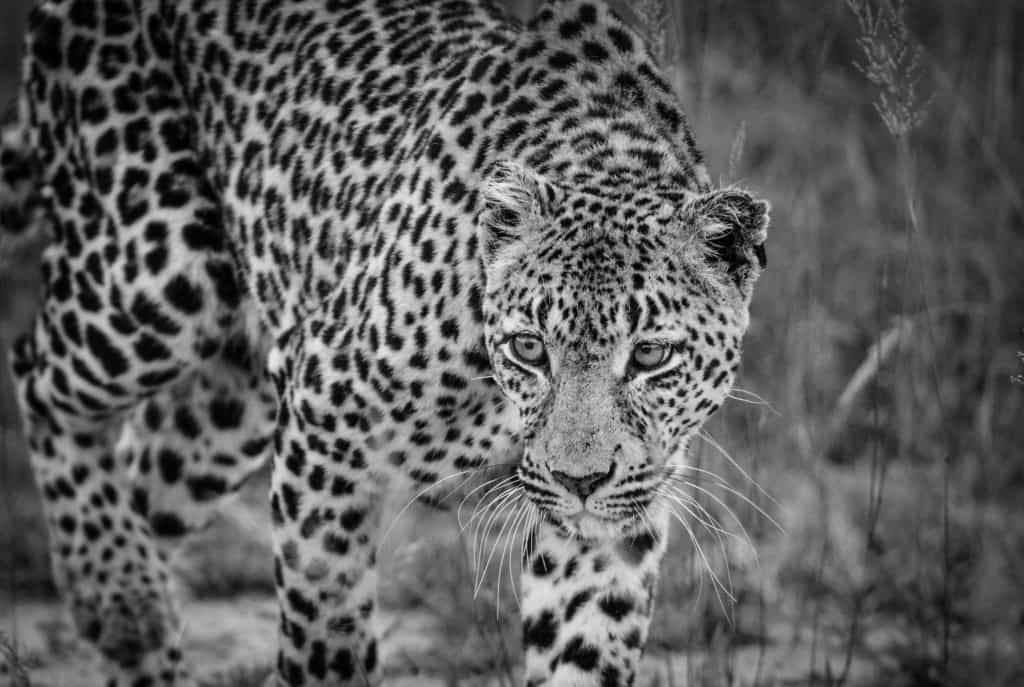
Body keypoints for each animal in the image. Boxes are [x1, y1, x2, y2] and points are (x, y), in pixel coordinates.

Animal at [0, 0, 770, 685]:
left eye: (650, 355)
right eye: (529, 349)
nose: (577, 480)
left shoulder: (610, 524)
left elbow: (583, 648)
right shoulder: (323, 417)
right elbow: (325, 624)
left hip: (230, 402)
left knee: (140, 474)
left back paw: (137, 622)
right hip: (156, 274)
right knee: (37, 372)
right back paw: (121, 600)